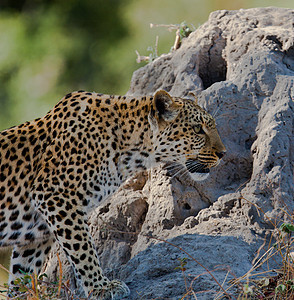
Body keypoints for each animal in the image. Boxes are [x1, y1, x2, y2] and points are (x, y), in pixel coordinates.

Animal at [0, 89, 226, 298]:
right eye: (197, 129)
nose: (223, 153)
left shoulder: (38, 232)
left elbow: (23, 277)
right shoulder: (55, 196)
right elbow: (83, 249)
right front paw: (101, 287)